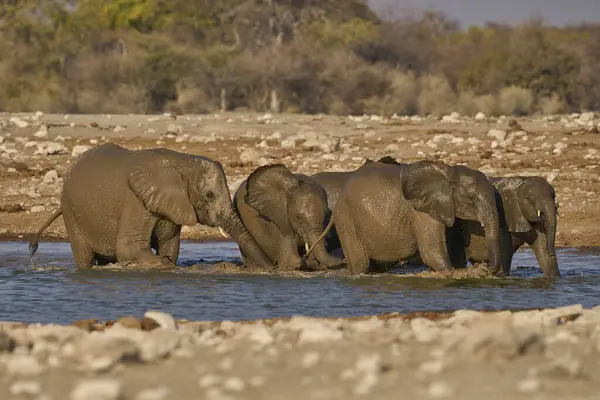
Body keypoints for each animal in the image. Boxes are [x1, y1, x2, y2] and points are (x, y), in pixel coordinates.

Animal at [28, 142, 272, 270]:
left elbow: (170, 246)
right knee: (85, 257)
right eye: (209, 195)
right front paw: (161, 263)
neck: (181, 162)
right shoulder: (136, 201)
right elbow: (129, 248)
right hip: (71, 213)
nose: (273, 267)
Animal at [316, 159, 504, 276]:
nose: (486, 266)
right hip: (346, 219)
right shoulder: (422, 212)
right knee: (360, 264)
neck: (449, 173)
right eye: (472, 199)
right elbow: (431, 251)